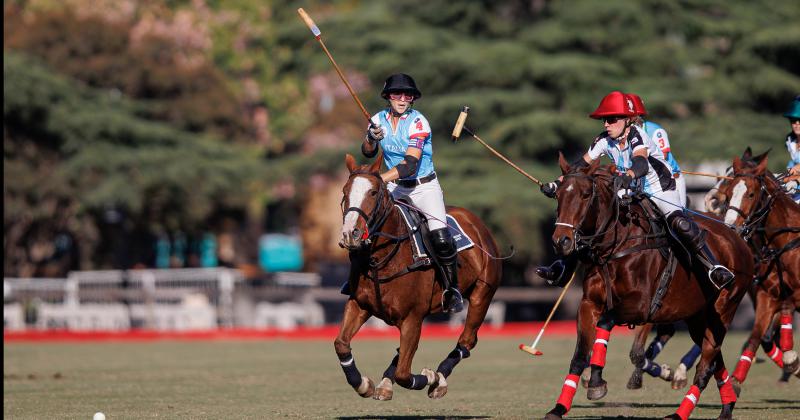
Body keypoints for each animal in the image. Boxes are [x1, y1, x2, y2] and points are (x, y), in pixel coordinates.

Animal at [332, 153, 500, 400]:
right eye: (345, 191)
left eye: (373, 192)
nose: (350, 235)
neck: (380, 260)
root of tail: (475, 221)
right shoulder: (359, 304)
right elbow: (341, 344)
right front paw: (364, 384)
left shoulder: (412, 316)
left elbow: (404, 374)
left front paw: (431, 377)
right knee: (401, 351)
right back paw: (385, 383)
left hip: (482, 293)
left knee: (467, 340)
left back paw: (439, 379)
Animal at [540, 154, 752, 420]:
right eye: (558, 195)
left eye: (586, 194)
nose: (562, 242)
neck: (615, 246)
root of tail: (739, 239)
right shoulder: (589, 304)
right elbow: (579, 356)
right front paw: (558, 408)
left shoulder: (641, 306)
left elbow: (605, 323)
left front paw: (597, 382)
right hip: (699, 317)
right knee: (714, 359)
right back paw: (727, 407)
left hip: (724, 310)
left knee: (705, 365)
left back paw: (680, 413)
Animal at [716, 153, 800, 390]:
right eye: (728, 194)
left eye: (751, 194)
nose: (731, 229)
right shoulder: (767, 296)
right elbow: (755, 338)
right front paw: (735, 381)